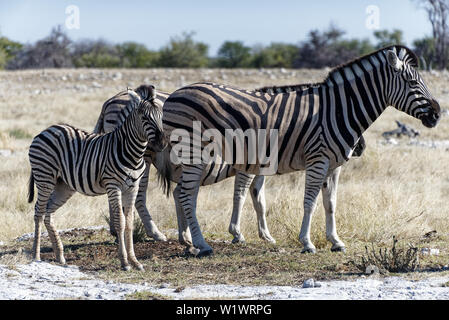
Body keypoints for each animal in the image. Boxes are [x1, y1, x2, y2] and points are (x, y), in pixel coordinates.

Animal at [26, 87, 166, 270]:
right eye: (145, 118)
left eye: (161, 116)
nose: (162, 143)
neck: (132, 153)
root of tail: (46, 130)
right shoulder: (113, 186)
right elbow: (120, 222)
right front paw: (124, 262)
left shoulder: (132, 188)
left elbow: (129, 224)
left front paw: (135, 261)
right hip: (45, 178)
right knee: (39, 212)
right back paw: (36, 256)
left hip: (63, 186)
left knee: (48, 213)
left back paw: (60, 256)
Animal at [162, 45, 440, 256]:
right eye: (413, 82)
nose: (437, 114)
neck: (338, 109)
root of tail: (174, 94)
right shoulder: (318, 160)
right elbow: (310, 202)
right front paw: (307, 242)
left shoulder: (333, 165)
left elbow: (330, 203)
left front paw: (336, 241)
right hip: (194, 150)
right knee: (187, 195)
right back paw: (201, 244)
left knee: (184, 193)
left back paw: (189, 242)